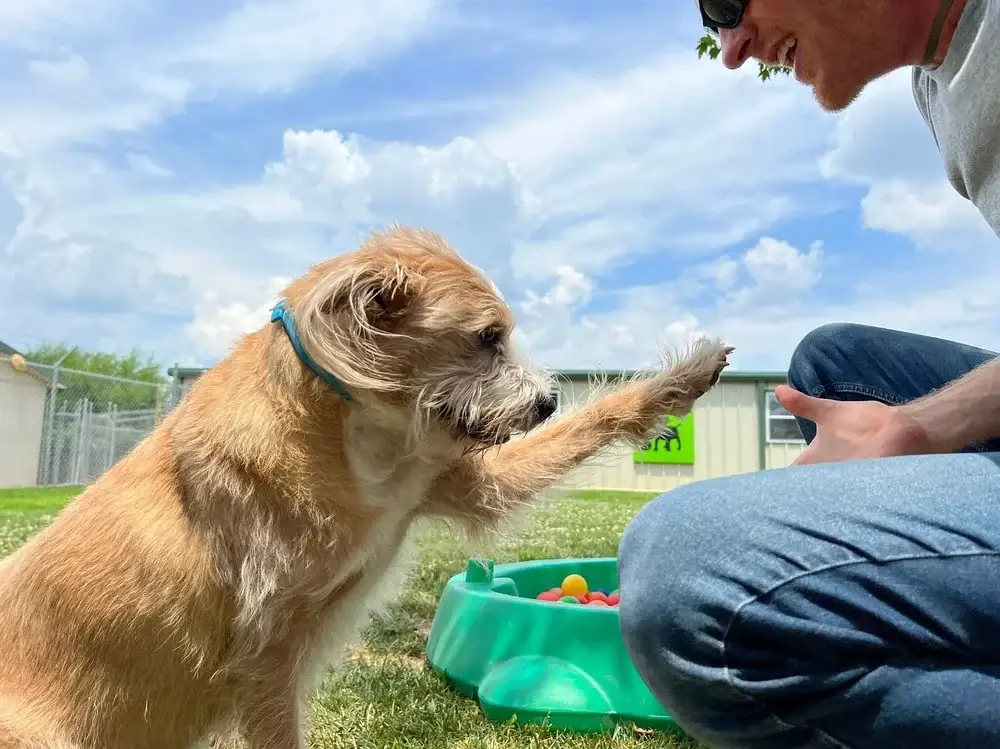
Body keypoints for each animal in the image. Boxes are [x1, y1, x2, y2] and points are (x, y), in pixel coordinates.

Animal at [0, 225, 736, 744]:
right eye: (487, 337)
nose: (547, 400)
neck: (351, 437)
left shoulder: (455, 486)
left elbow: (598, 418)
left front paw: (685, 377)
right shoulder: (265, 653)